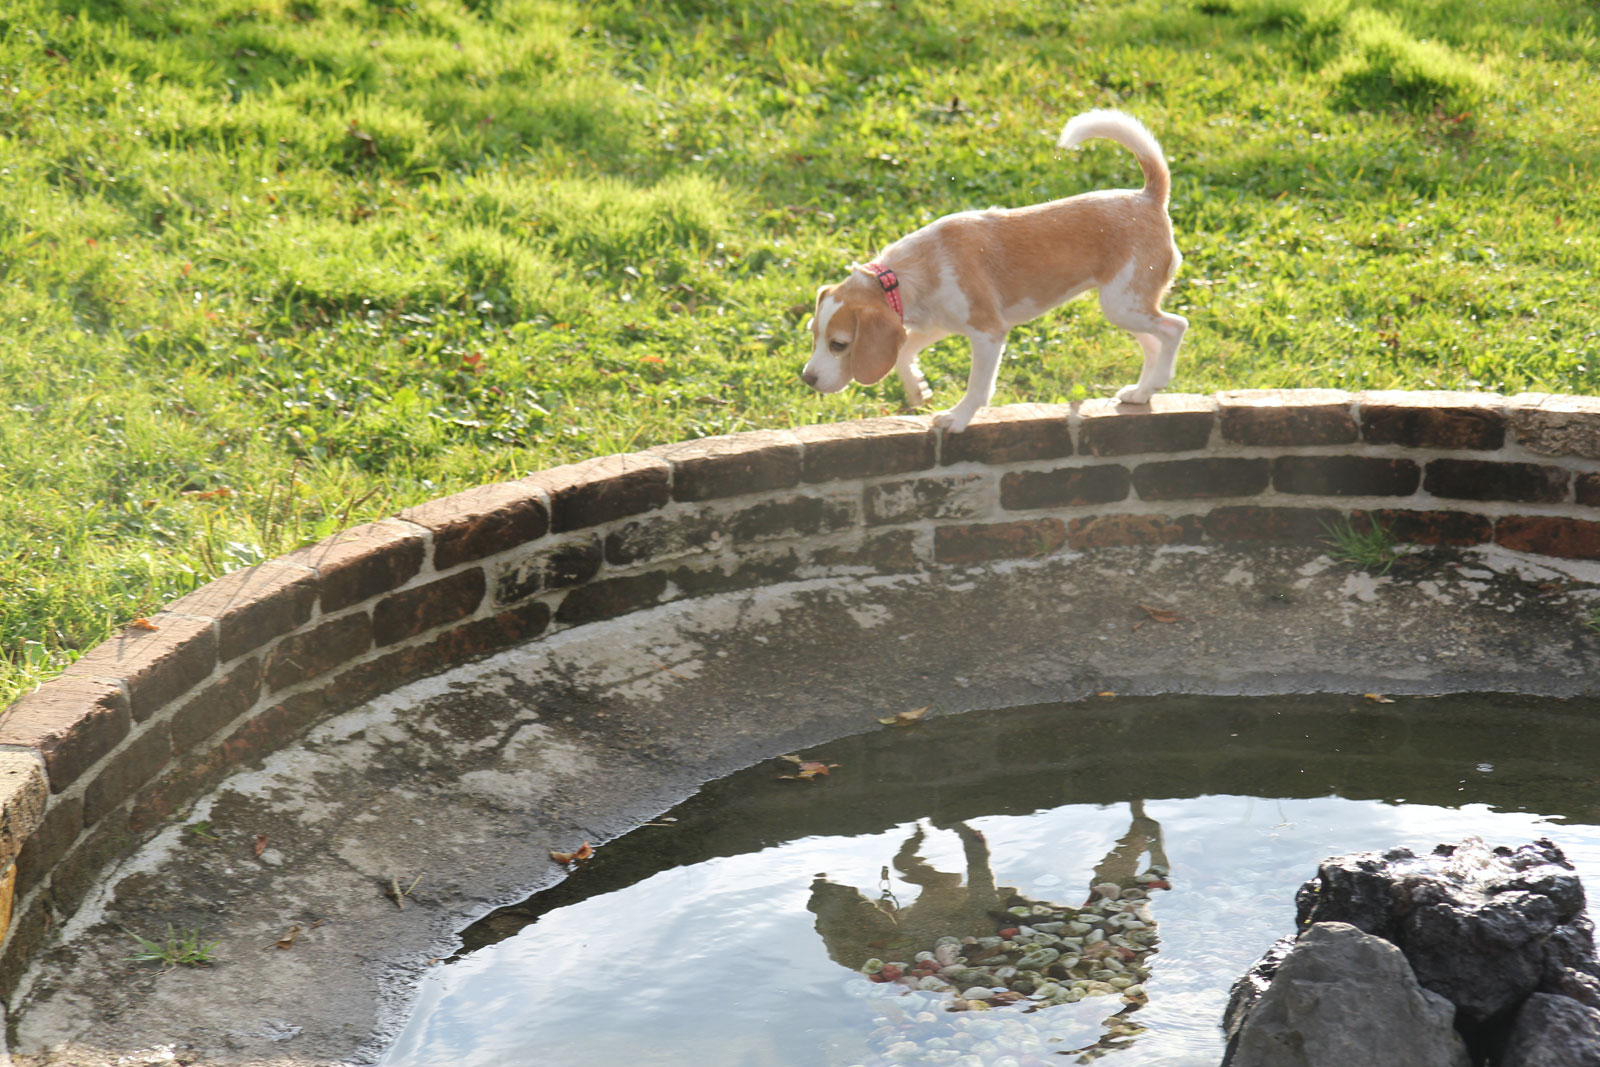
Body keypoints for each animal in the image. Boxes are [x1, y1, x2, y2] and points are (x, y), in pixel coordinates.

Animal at [800, 111, 1190, 435]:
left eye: (839, 345)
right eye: (814, 335)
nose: (806, 378)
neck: (900, 274)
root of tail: (1148, 197)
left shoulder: (988, 333)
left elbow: (977, 387)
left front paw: (957, 417)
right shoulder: (936, 324)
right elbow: (904, 352)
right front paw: (917, 388)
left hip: (1122, 303)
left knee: (1174, 327)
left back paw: (1159, 378)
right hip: (1125, 306)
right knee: (1153, 341)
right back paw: (1142, 391)